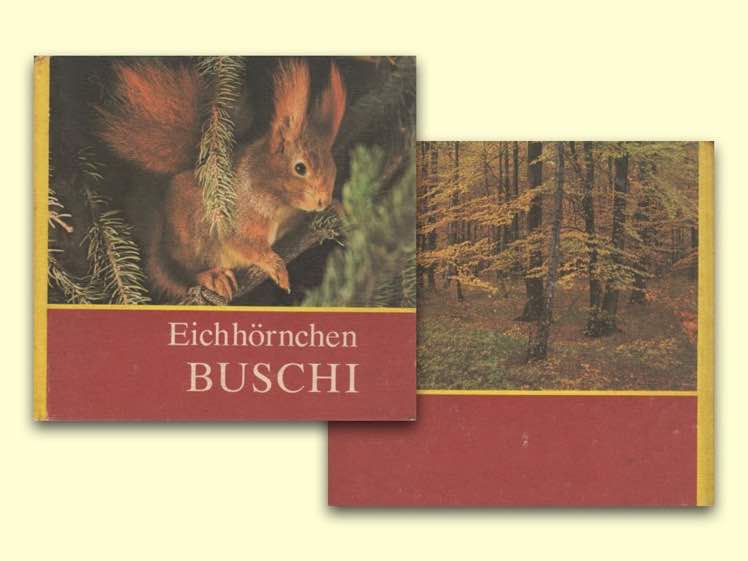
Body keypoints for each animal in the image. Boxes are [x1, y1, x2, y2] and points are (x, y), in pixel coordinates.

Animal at [96, 58, 346, 302]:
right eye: (300, 168)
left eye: (333, 166)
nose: (323, 200)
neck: (280, 203)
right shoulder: (236, 219)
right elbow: (246, 246)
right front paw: (274, 264)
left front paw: (337, 206)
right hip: (193, 240)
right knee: (183, 275)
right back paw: (213, 277)